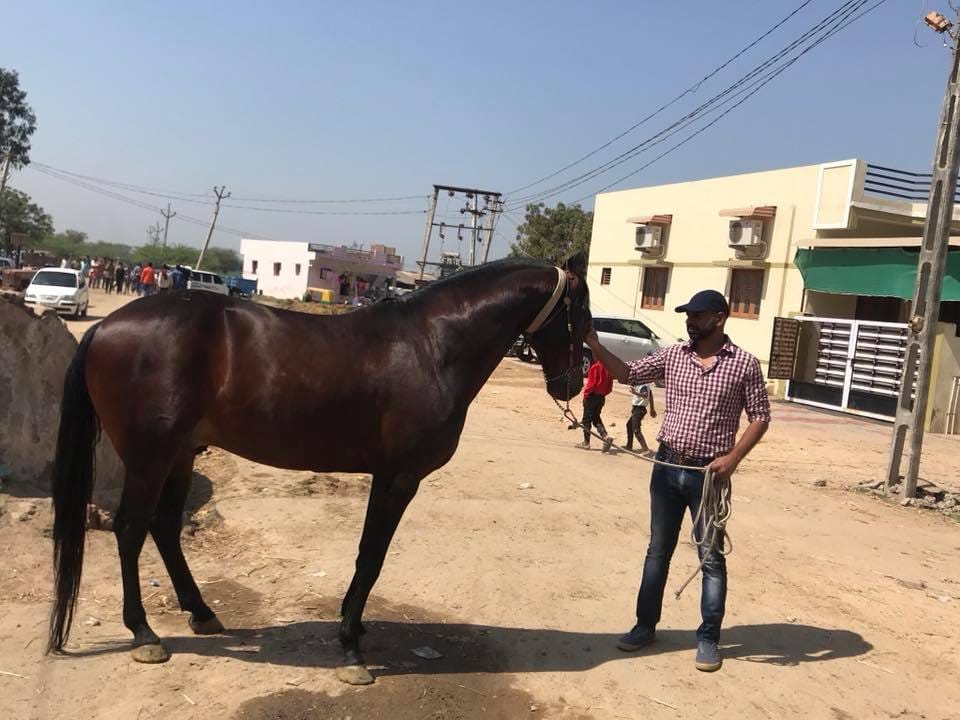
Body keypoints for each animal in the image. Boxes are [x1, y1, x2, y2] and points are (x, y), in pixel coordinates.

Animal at [46, 252, 591, 685]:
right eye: (583, 313)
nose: (571, 384)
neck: (432, 346)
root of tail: (105, 327)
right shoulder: (399, 478)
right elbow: (371, 557)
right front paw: (350, 646)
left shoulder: (387, 477)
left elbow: (368, 556)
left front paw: (356, 628)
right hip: (149, 458)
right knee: (130, 530)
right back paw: (144, 634)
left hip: (179, 454)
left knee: (163, 527)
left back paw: (201, 613)